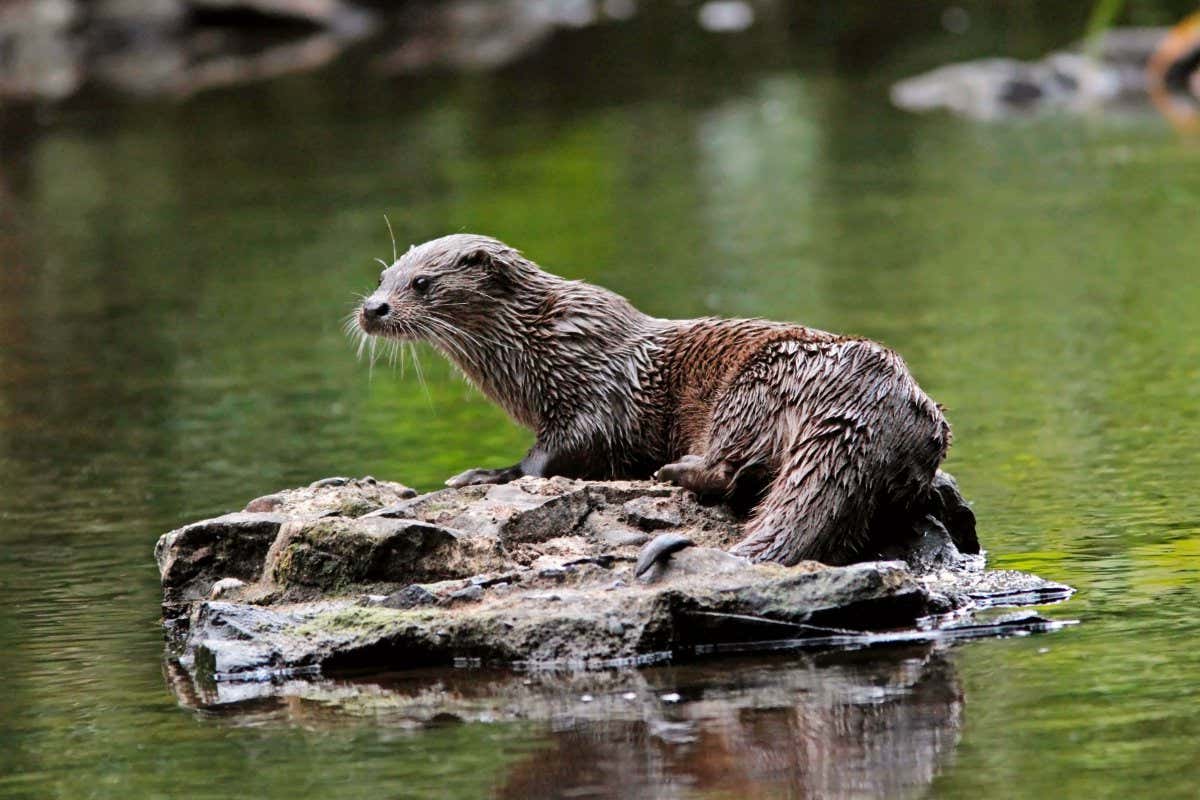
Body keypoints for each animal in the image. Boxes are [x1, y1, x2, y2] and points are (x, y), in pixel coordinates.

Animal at [356, 234, 951, 566]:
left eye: (423, 282)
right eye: (383, 276)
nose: (372, 308)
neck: (546, 347)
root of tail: (865, 402)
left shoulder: (600, 397)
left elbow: (553, 456)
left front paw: (483, 474)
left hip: (752, 389)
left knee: (730, 469)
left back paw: (674, 471)